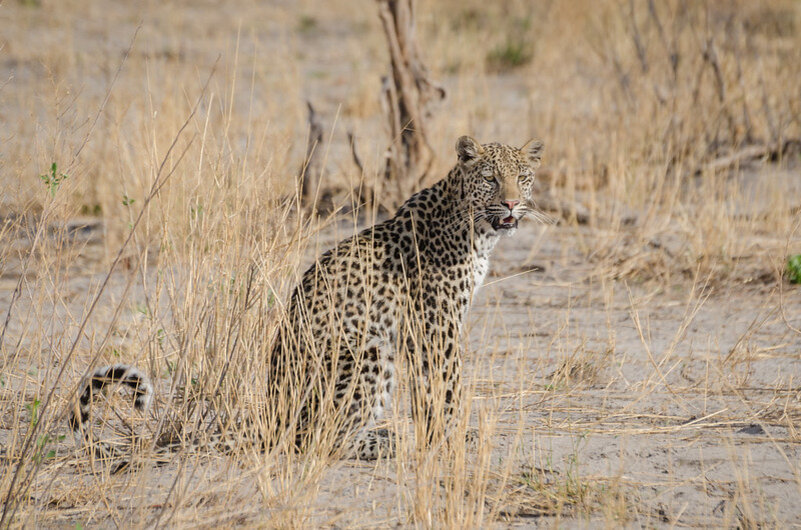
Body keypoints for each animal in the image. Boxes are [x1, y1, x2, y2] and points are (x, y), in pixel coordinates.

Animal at [73, 135, 544, 458]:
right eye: (490, 179)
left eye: (521, 177)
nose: (511, 204)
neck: (476, 230)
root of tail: (271, 415)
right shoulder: (436, 324)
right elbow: (447, 387)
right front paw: (450, 441)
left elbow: (435, 391)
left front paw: (443, 437)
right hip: (369, 351)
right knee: (317, 441)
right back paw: (383, 443)